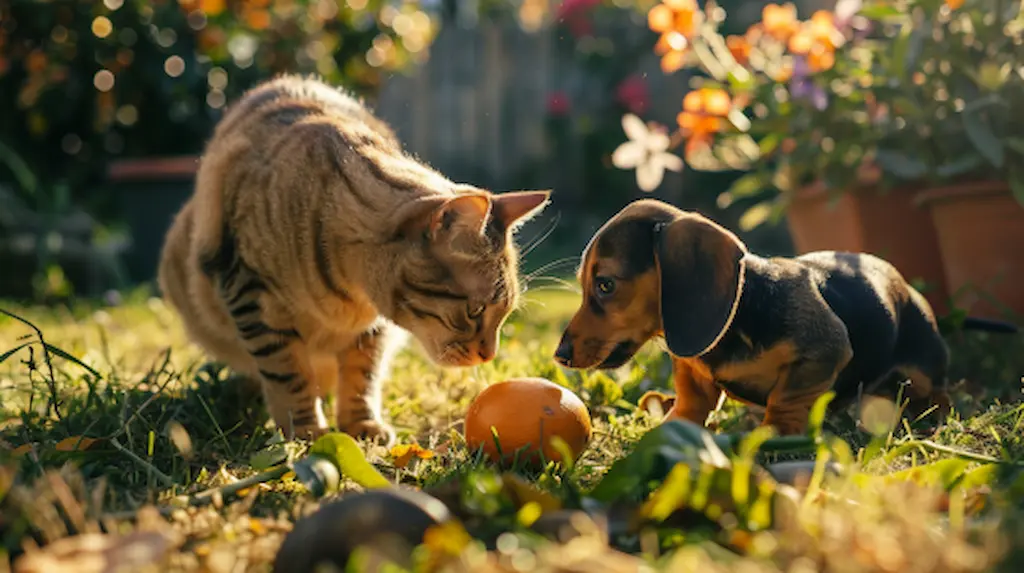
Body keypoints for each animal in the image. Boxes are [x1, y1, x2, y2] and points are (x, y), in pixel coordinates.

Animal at [155, 76, 548, 444]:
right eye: (475, 310)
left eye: (505, 313)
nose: (489, 355)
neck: (348, 294)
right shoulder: (254, 293)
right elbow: (287, 372)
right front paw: (305, 431)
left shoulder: (374, 327)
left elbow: (363, 376)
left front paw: (362, 426)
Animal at [552, 199, 950, 435]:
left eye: (605, 285)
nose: (560, 355)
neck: (737, 320)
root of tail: (901, 282)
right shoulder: (691, 369)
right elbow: (692, 399)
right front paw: (674, 422)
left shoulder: (824, 350)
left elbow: (785, 398)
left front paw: (774, 432)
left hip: (924, 366)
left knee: (935, 390)